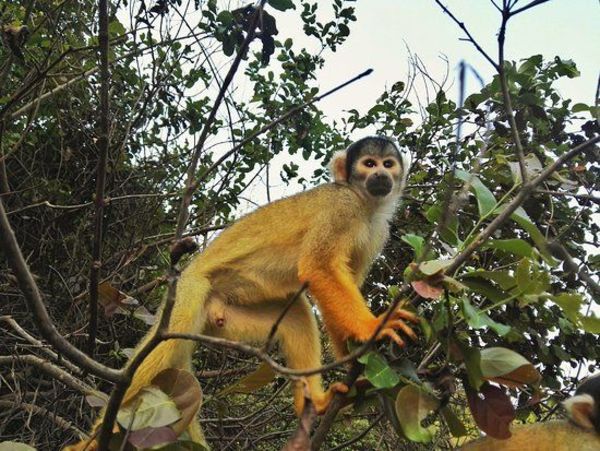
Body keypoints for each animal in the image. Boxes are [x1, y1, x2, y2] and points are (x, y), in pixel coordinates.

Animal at [67, 136, 418, 450]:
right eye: (368, 164)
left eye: (388, 164)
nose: (381, 176)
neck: (365, 204)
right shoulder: (341, 208)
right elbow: (318, 268)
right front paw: (374, 327)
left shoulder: (378, 232)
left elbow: (341, 285)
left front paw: (354, 354)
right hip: (190, 292)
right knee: (163, 345)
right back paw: (90, 441)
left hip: (227, 318)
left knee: (296, 314)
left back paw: (314, 403)